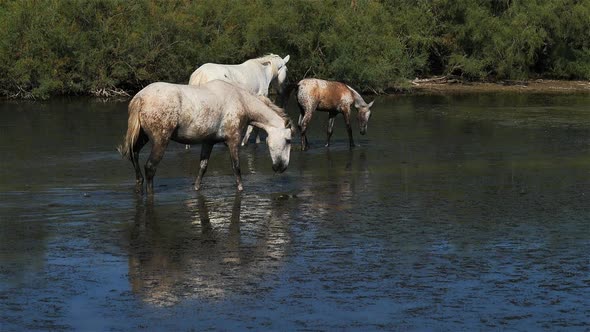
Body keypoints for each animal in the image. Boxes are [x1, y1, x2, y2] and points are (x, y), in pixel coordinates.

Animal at [118, 80, 294, 195]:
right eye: (288, 140)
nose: (282, 167)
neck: (242, 101)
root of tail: (140, 98)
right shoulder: (234, 140)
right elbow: (236, 167)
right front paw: (241, 189)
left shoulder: (208, 142)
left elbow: (202, 167)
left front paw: (196, 188)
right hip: (160, 140)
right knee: (150, 167)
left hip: (142, 137)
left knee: (134, 155)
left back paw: (138, 186)